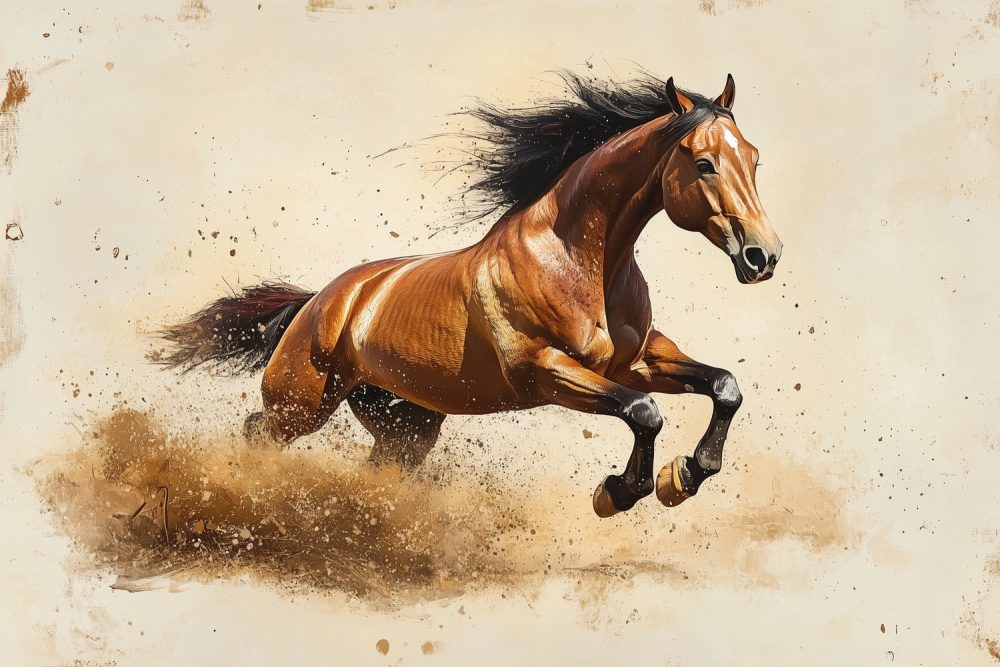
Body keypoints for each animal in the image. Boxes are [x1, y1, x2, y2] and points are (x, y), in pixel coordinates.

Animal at [156, 72, 782, 518]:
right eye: (703, 163)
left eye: (754, 157)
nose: (764, 256)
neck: (580, 260)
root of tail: (320, 302)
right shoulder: (543, 371)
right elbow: (643, 411)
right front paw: (619, 492)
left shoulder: (637, 360)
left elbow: (723, 386)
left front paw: (686, 475)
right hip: (300, 405)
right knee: (255, 432)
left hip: (407, 424)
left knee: (379, 464)